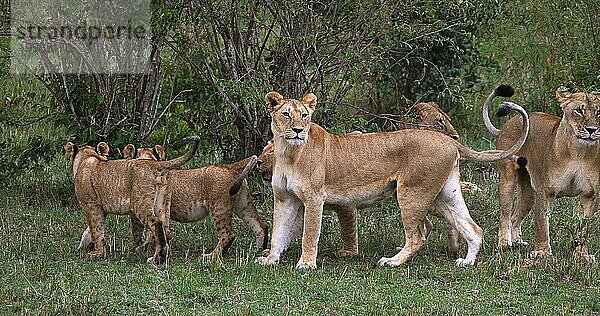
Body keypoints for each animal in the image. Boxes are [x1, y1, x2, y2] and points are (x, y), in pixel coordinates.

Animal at [67, 137, 200, 262]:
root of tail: (155, 164)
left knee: (156, 223)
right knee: (165, 229)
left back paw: (156, 259)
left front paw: (97, 254)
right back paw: (165, 256)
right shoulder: (100, 208)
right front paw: (85, 246)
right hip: (163, 204)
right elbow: (90, 230)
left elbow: (96, 230)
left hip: (140, 204)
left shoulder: (90, 205)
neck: (86, 157)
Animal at [255, 87, 528, 270]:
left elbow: (309, 233)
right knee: (473, 228)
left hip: (412, 192)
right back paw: (466, 261)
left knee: (417, 236)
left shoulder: (314, 198)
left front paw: (306, 264)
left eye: (304, 115)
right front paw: (269, 259)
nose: (298, 130)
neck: (288, 152)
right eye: (286, 115)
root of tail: (449, 141)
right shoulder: (285, 199)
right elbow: (279, 232)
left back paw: (392, 261)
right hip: (445, 194)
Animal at [482, 85, 600, 260]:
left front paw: (582, 255)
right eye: (579, 111)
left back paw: (518, 242)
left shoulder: (589, 195)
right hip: (507, 179)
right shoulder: (546, 191)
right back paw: (504, 244)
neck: (578, 152)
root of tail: (508, 123)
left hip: (529, 192)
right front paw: (542, 252)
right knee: (505, 214)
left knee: (515, 217)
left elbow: (584, 227)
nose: (592, 130)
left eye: (599, 112)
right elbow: (542, 224)